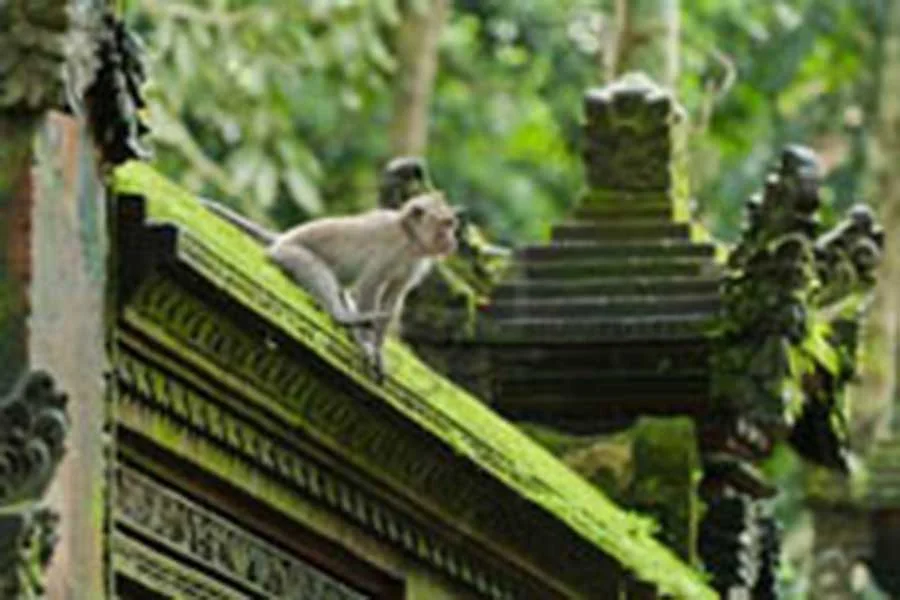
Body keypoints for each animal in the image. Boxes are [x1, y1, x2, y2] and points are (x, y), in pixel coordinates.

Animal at [200, 193, 459, 381]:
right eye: (445, 225)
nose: (453, 241)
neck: (410, 238)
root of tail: (282, 238)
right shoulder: (390, 246)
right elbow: (369, 286)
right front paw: (367, 344)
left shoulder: (415, 263)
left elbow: (393, 297)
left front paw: (378, 350)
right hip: (289, 253)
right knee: (316, 270)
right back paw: (343, 318)